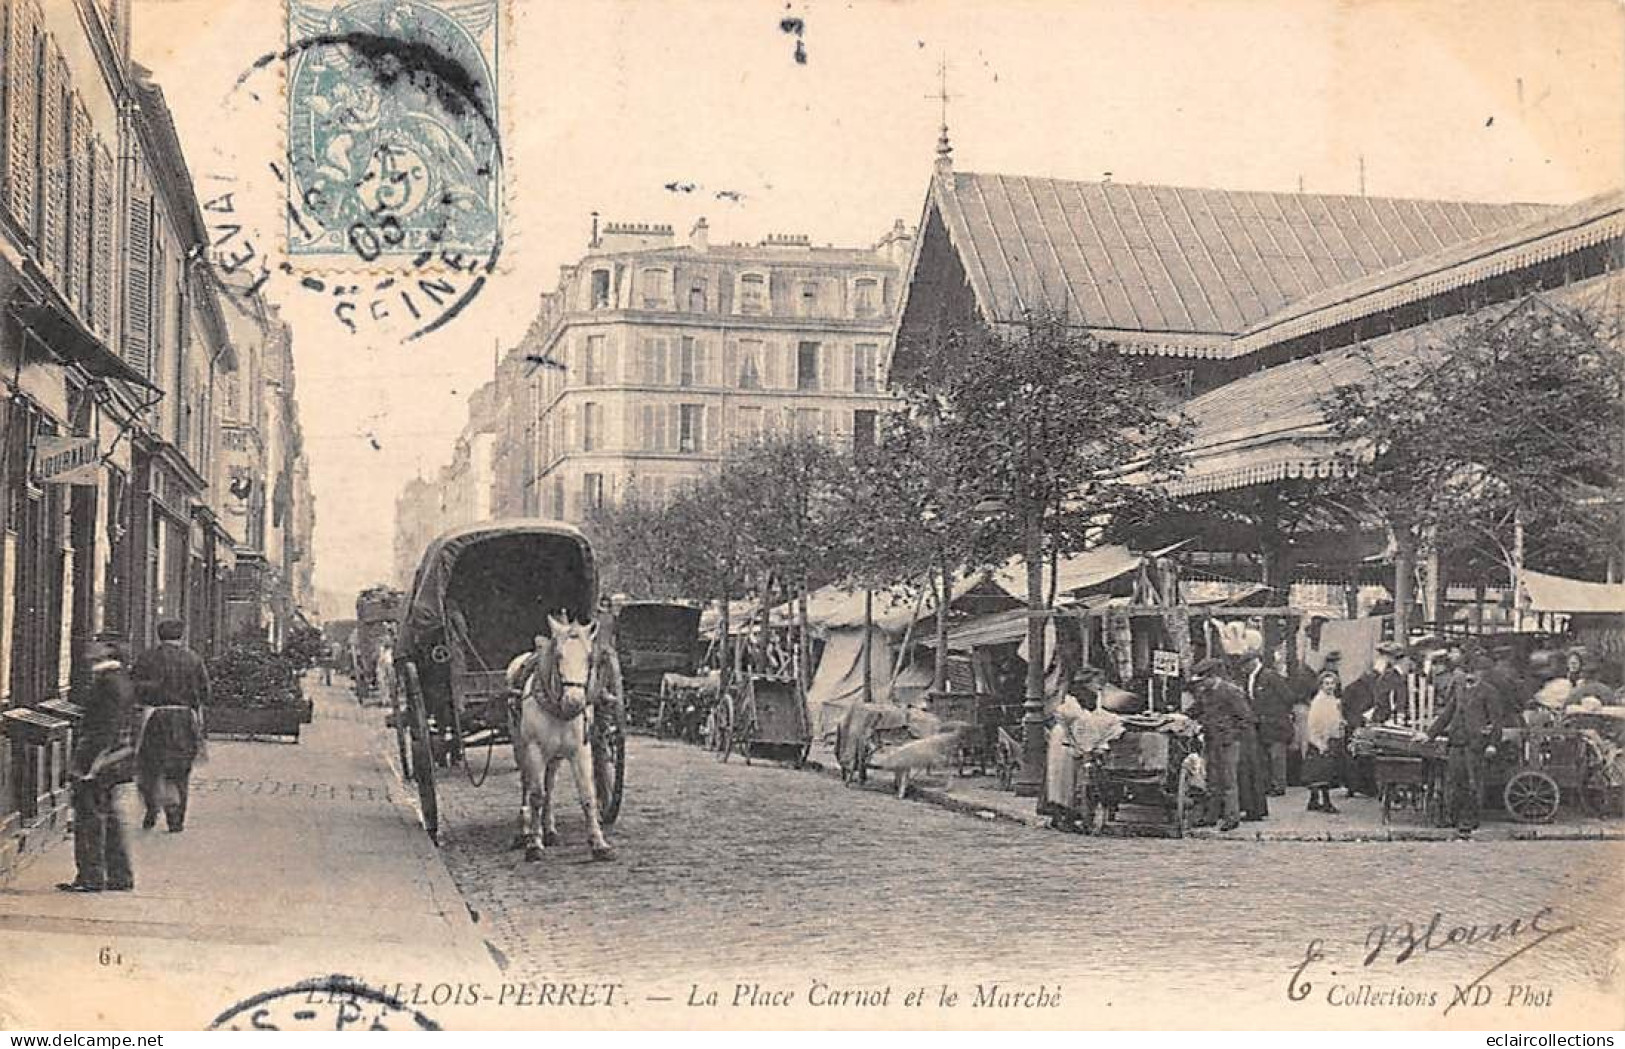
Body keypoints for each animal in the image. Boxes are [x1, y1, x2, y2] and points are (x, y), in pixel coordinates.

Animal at [510, 617, 611, 863]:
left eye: (589, 658)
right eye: (558, 656)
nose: (574, 702)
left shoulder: (581, 751)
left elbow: (587, 795)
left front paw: (599, 843)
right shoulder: (534, 750)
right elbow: (536, 796)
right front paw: (534, 844)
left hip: (554, 757)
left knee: (550, 785)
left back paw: (550, 830)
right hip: (520, 746)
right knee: (527, 784)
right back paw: (525, 830)